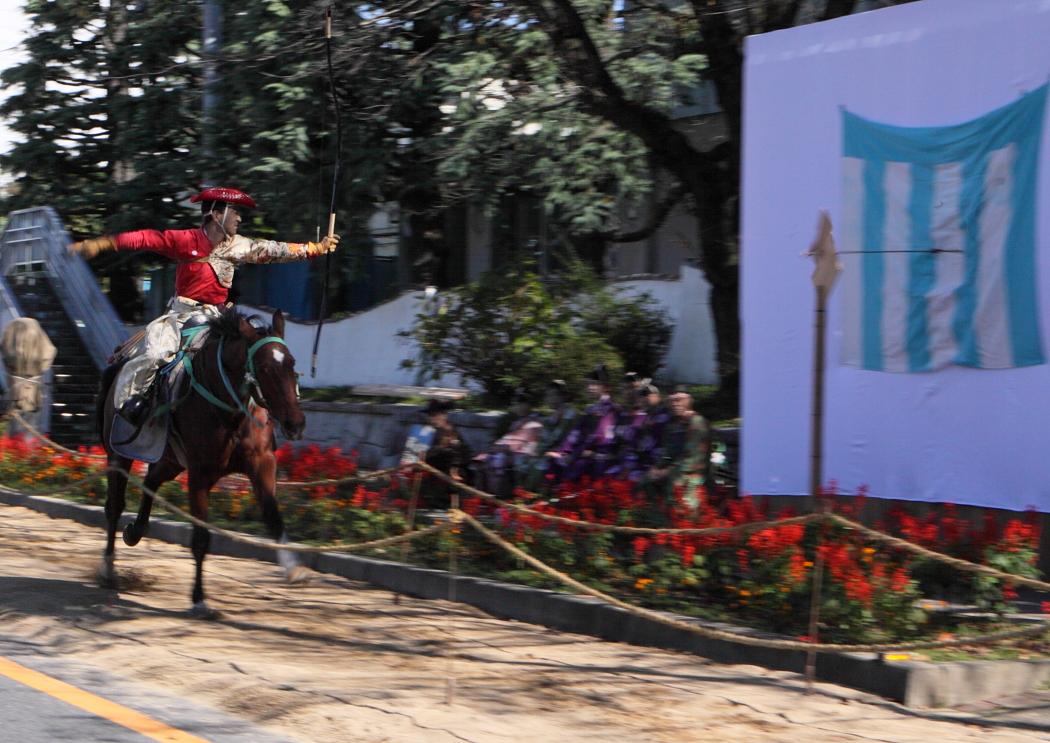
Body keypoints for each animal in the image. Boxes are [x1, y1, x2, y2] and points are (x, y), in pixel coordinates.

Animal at [95, 308, 306, 617]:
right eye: (265, 368)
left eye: (291, 364)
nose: (295, 424)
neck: (230, 409)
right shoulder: (199, 474)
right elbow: (201, 538)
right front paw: (198, 599)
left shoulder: (262, 463)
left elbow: (272, 515)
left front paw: (293, 569)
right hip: (119, 454)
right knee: (114, 506)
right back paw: (108, 568)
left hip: (171, 459)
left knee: (151, 480)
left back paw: (135, 531)